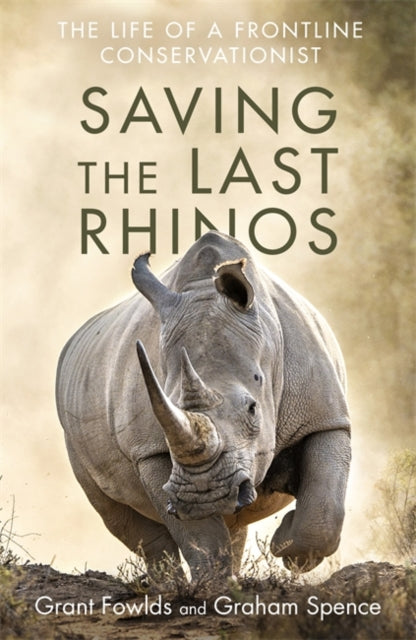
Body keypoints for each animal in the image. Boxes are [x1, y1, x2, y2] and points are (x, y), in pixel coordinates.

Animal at [56, 231, 351, 579]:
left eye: (252, 409)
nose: (204, 495)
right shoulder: (150, 450)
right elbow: (200, 536)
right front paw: (215, 586)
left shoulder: (325, 416)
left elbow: (325, 506)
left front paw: (286, 549)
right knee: (121, 517)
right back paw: (168, 585)